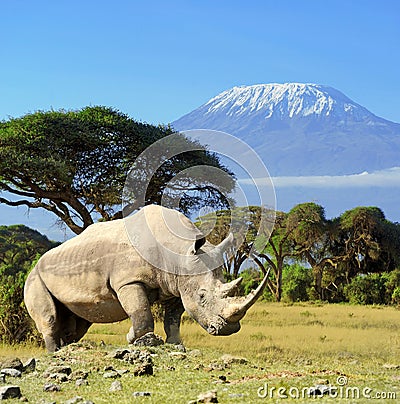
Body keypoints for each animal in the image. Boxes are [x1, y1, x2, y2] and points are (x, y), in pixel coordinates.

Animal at [25, 205, 268, 350]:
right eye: (202, 296)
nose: (228, 329)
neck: (179, 251)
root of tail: (36, 264)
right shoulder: (128, 281)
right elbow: (141, 312)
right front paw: (136, 340)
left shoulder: (178, 284)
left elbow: (173, 319)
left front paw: (174, 344)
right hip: (35, 278)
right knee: (50, 318)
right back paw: (54, 353)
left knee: (79, 321)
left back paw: (67, 348)